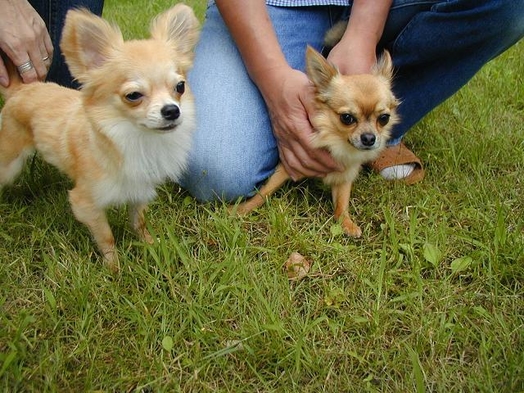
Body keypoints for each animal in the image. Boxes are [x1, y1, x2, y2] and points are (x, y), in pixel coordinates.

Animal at [0, 5, 201, 270]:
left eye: (180, 87)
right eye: (133, 95)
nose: (172, 110)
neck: (136, 138)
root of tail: (21, 89)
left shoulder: (140, 189)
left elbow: (139, 221)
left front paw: (150, 244)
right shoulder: (85, 203)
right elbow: (106, 237)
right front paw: (114, 269)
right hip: (9, 163)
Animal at [235, 45, 400, 236]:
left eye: (384, 118)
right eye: (347, 118)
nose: (369, 138)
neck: (338, 143)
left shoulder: (345, 174)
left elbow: (342, 201)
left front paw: (346, 222)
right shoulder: (289, 164)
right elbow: (265, 191)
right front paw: (240, 210)